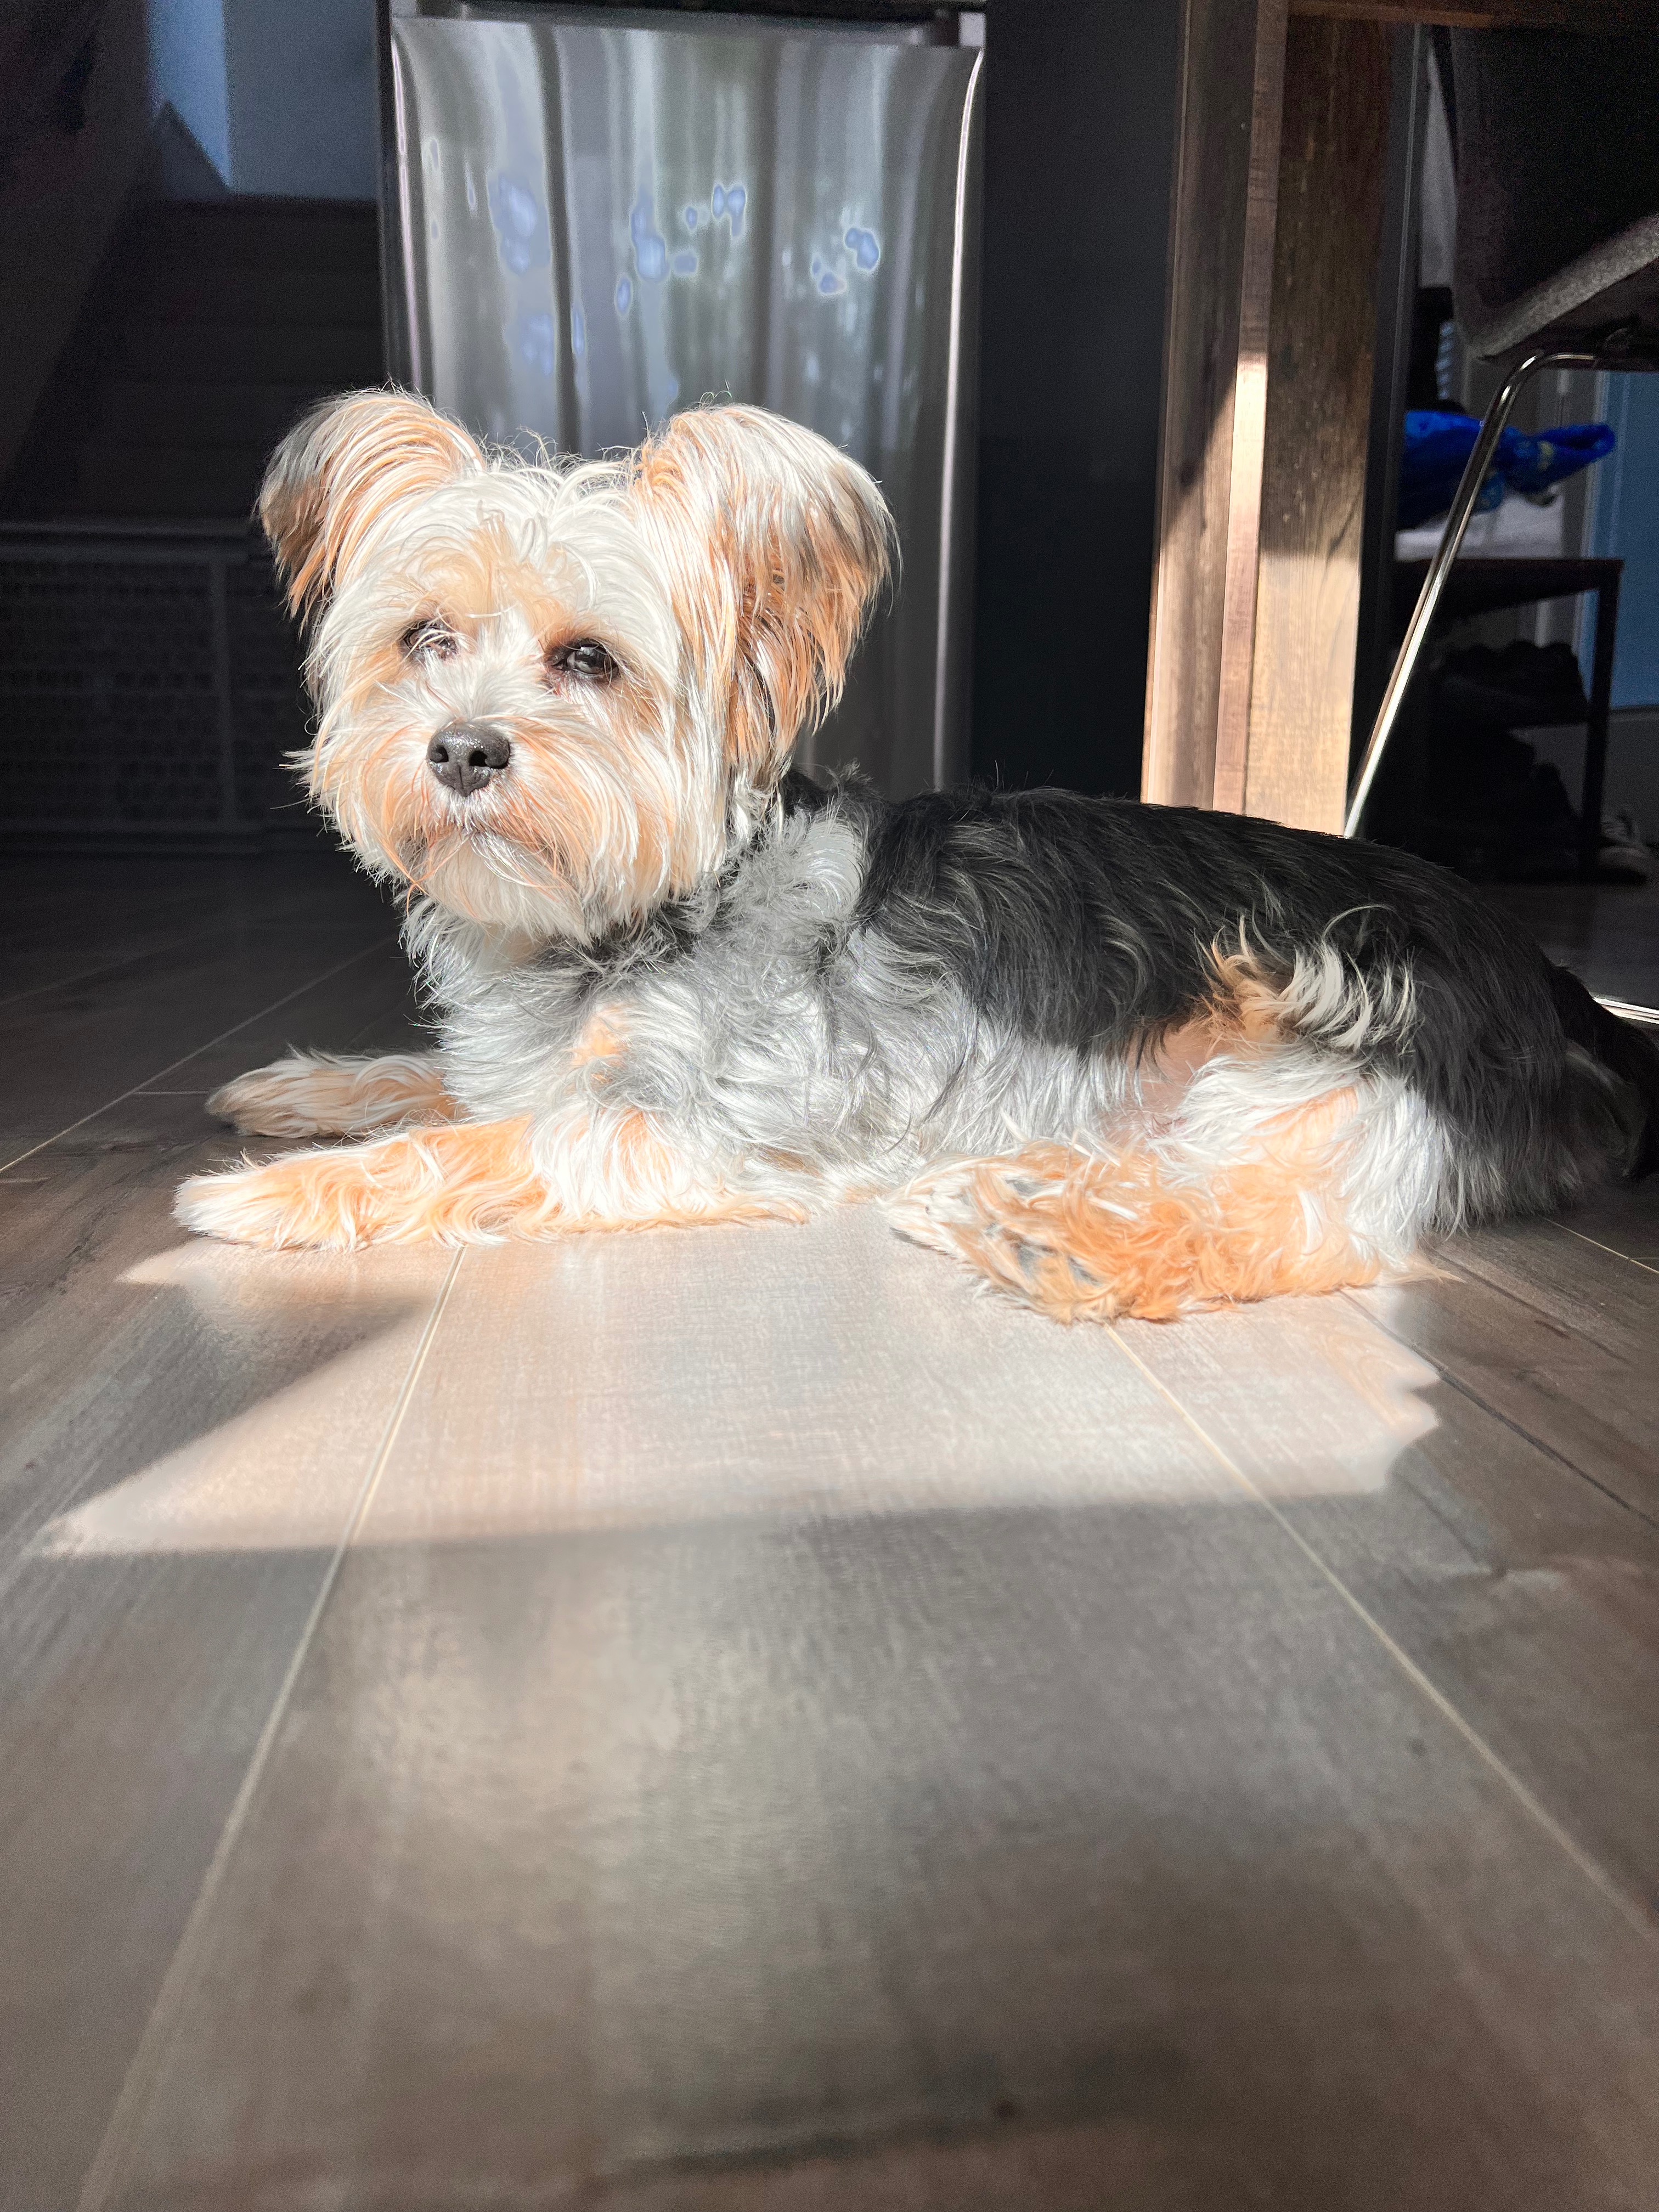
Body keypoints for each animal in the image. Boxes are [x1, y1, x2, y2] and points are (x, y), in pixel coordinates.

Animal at [176, 390, 1659, 1322]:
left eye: (588, 661)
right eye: (424, 640)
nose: (461, 750)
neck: (620, 918)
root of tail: (1551, 980)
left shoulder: (690, 1127)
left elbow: (475, 1146)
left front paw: (270, 1196)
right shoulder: (539, 1068)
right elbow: (441, 1086)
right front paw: (302, 1093)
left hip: (1340, 1030)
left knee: (1302, 1221)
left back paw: (1057, 1241)